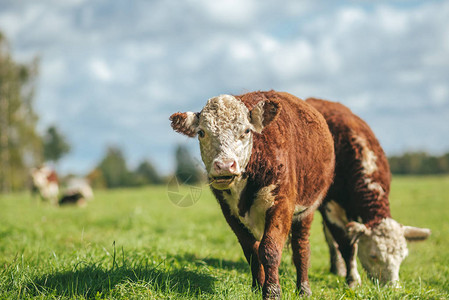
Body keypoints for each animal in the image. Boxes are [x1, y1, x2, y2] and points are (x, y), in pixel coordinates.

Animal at [170, 89, 334, 298]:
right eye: (201, 132)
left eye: (247, 131)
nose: (225, 165)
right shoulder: (229, 211)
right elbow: (251, 251)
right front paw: (257, 287)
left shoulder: (282, 203)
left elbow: (269, 249)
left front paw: (272, 291)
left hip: (307, 210)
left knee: (301, 247)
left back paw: (303, 289)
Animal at [306, 97, 428, 288]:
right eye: (373, 255)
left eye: (402, 257)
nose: (393, 288)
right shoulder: (330, 207)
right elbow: (347, 246)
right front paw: (353, 280)